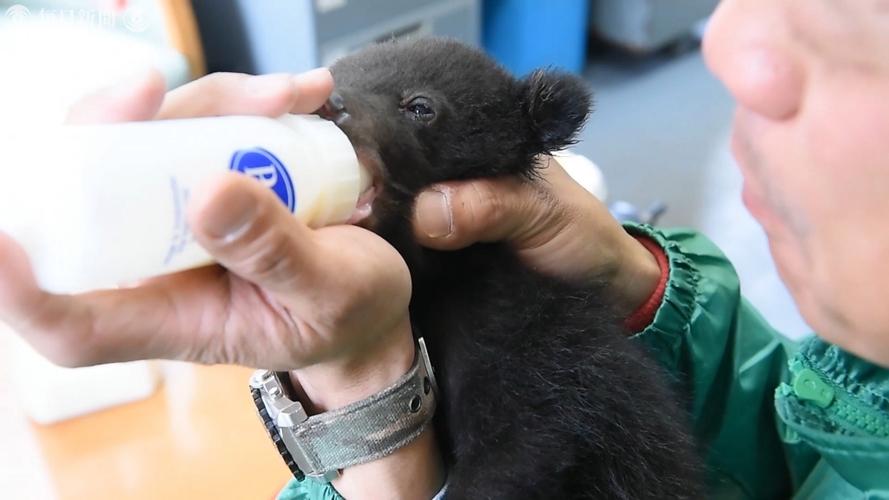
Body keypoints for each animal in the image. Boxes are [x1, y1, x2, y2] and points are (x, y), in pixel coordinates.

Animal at [317, 37, 703, 499]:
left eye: (419, 106)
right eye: (335, 76)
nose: (330, 103)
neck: (430, 281)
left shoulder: (521, 342)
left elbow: (521, 448)